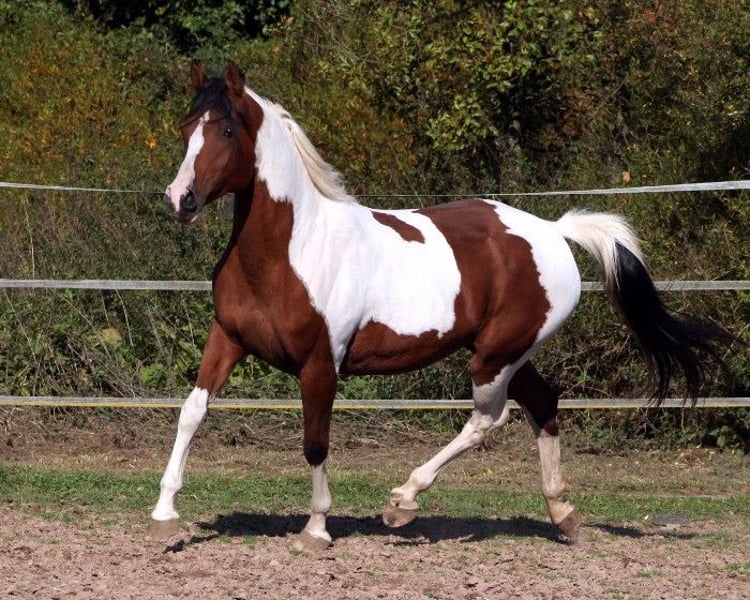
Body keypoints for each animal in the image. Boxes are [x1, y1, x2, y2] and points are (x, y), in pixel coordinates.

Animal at [151, 61, 734, 551]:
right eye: (186, 126)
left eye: (228, 131)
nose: (179, 200)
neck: (289, 251)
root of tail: (553, 231)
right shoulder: (227, 338)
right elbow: (191, 412)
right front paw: (165, 514)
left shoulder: (320, 364)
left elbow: (315, 443)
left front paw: (316, 529)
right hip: (510, 354)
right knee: (543, 406)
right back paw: (563, 516)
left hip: (494, 357)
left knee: (489, 418)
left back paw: (404, 501)